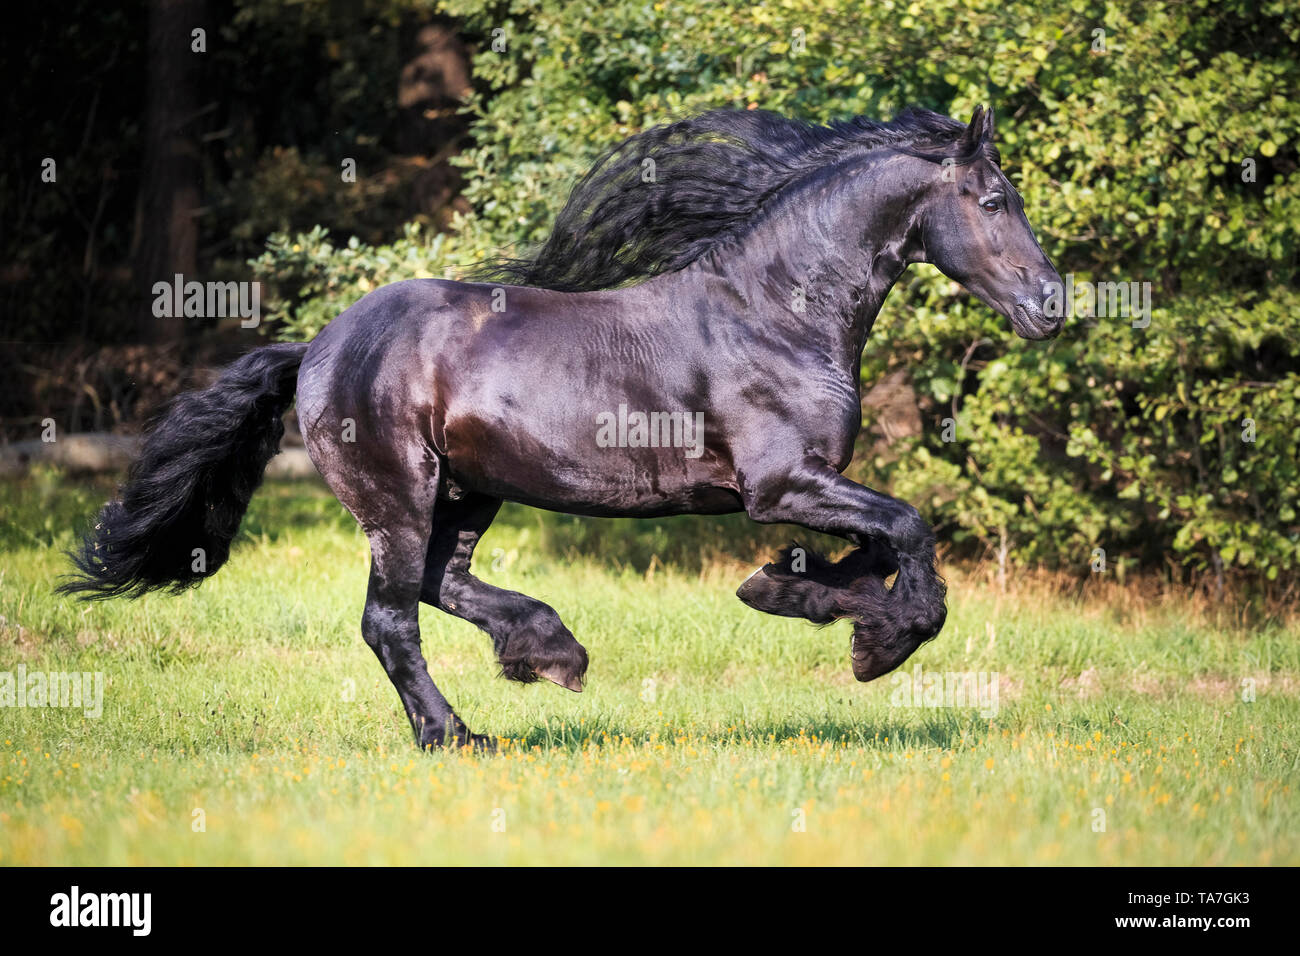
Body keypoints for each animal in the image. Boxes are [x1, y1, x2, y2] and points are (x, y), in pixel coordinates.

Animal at [61, 104, 1060, 749]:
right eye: (994, 201)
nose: (1053, 305)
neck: (774, 311)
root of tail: (319, 346)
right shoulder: (782, 486)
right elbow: (907, 531)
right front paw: (879, 643)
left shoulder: (805, 488)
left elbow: (873, 547)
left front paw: (792, 594)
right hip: (399, 496)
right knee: (391, 620)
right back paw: (457, 734)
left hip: (468, 493)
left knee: (443, 585)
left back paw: (549, 652)